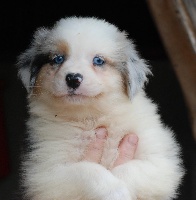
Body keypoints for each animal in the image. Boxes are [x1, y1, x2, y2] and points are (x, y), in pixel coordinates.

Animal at [17, 16, 185, 199]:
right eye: (58, 59)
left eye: (98, 60)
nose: (73, 78)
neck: (91, 117)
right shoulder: (46, 172)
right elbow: (88, 170)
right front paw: (115, 191)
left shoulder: (160, 161)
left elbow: (128, 169)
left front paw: (121, 190)